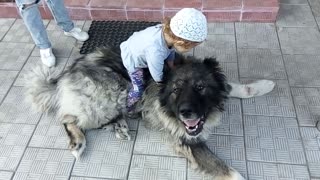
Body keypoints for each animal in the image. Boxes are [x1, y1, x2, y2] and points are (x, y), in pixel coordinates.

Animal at [26, 46, 274, 180]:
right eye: (176, 89)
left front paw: (265, 85)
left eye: (201, 87)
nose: (186, 113)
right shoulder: (185, 139)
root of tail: (63, 77)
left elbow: (235, 87)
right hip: (108, 96)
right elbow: (229, 171)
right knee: (68, 118)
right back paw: (79, 142)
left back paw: (120, 127)